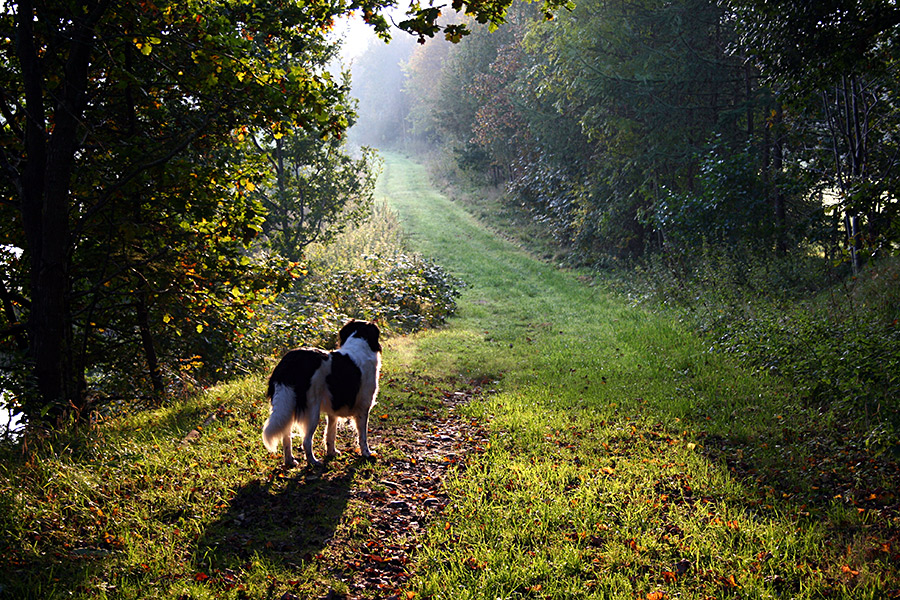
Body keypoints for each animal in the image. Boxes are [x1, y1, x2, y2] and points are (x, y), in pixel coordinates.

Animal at [264, 322, 384, 466]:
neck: (359, 340)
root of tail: (290, 361)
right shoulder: (363, 408)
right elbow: (362, 436)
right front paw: (367, 453)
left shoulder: (333, 410)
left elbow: (330, 433)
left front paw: (332, 453)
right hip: (312, 410)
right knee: (306, 440)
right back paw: (313, 462)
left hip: (287, 406)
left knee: (286, 436)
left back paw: (290, 461)